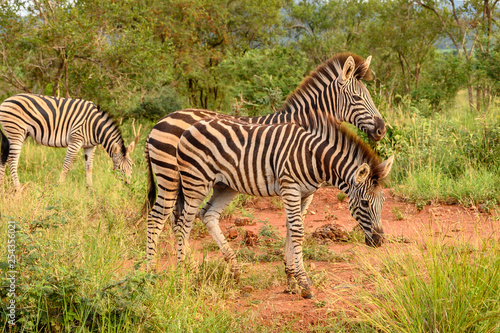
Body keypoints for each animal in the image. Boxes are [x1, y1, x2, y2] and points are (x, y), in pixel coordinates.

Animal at [0, 92, 141, 189]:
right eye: (120, 168)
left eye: (131, 166)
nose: (129, 185)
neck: (95, 126)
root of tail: (6, 100)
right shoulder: (75, 140)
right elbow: (67, 165)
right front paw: (60, 185)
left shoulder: (90, 146)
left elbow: (89, 166)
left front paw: (90, 188)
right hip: (16, 132)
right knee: (12, 159)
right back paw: (18, 188)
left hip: (20, 133)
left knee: (5, 157)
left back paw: (1, 185)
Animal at [145, 53, 386, 266]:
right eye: (357, 98)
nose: (382, 129)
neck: (304, 122)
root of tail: (158, 123)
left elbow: (295, 224)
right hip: (170, 178)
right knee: (158, 218)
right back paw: (151, 269)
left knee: (178, 219)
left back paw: (188, 263)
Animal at [176, 115, 394, 298]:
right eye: (364, 203)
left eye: (383, 202)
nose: (379, 241)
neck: (314, 157)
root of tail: (191, 127)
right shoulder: (290, 187)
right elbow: (297, 231)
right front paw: (304, 283)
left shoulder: (306, 194)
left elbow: (291, 229)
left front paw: (291, 280)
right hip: (196, 183)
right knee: (183, 225)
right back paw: (186, 272)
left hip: (225, 186)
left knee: (207, 215)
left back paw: (234, 271)